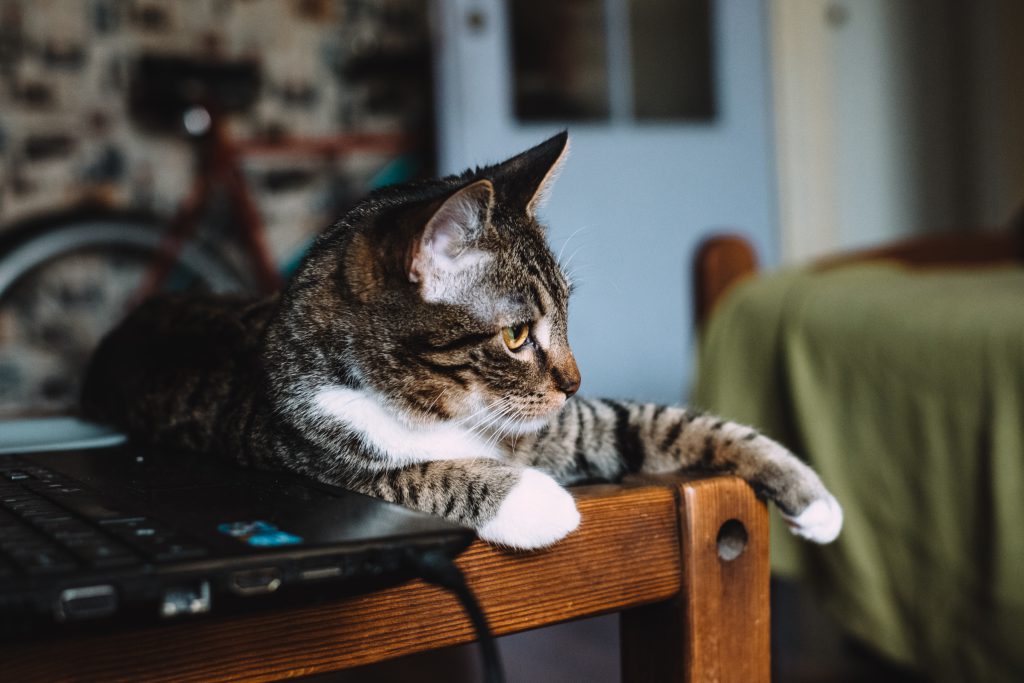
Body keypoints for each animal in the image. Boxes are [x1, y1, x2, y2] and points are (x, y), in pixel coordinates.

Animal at [83, 132, 843, 548]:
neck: (445, 410)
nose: (574, 379)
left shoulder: (570, 424)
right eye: (516, 334)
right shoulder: (307, 456)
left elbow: (667, 421)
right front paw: (536, 500)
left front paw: (814, 497)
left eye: (567, 314)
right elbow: (413, 473)